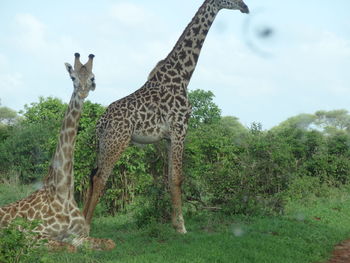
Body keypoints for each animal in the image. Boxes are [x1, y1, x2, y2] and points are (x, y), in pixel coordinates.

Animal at [0, 53, 115, 252]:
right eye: (73, 77)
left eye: (92, 77)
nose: (83, 91)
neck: (63, 193)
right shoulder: (32, 235)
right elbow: (69, 248)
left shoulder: (79, 235)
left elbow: (110, 243)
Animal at [82, 0, 249, 234]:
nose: (245, 7)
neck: (183, 75)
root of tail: (100, 123)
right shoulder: (180, 128)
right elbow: (178, 177)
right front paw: (182, 227)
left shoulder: (169, 137)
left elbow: (170, 178)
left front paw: (175, 223)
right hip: (117, 142)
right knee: (99, 178)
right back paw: (85, 229)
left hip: (104, 144)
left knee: (91, 175)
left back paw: (78, 223)